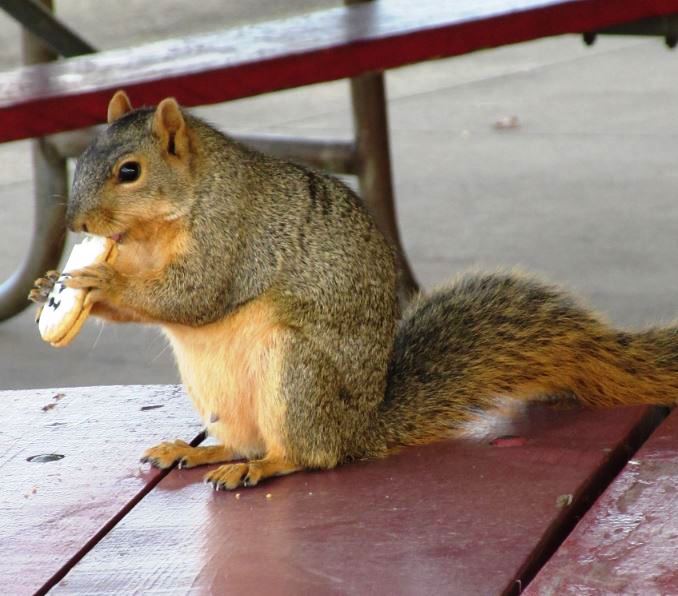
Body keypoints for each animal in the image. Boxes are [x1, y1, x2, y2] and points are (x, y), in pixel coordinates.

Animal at [30, 90, 678, 490]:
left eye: (130, 172)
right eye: (83, 158)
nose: (77, 223)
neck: (157, 229)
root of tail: (359, 429)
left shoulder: (231, 235)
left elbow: (196, 294)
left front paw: (100, 280)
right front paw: (46, 287)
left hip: (294, 372)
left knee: (306, 456)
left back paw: (265, 467)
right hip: (219, 394)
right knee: (244, 443)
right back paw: (197, 451)